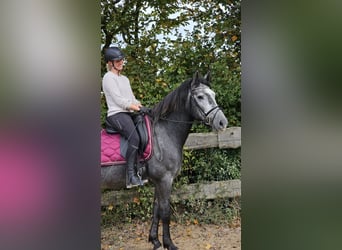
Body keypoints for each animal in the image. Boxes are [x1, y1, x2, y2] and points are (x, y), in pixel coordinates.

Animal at [102, 71, 230, 249]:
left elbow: (156, 208)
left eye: (214, 94)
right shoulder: (165, 179)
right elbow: (165, 211)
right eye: (200, 96)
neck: (164, 133)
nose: (222, 122)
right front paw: (169, 243)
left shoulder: (158, 181)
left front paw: (155, 240)